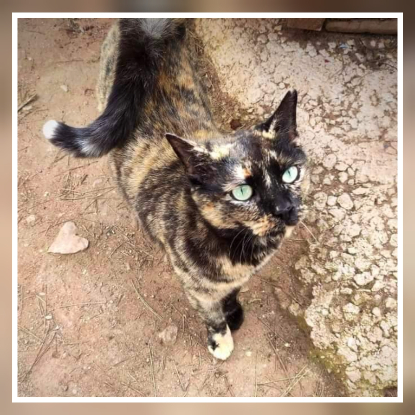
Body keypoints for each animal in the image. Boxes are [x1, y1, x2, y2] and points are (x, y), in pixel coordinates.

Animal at [43, 18, 309, 360]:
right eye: (242, 193)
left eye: (290, 173)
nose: (284, 208)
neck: (240, 246)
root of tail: (148, 34)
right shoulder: (195, 286)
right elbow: (211, 314)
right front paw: (221, 339)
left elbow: (232, 292)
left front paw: (234, 311)